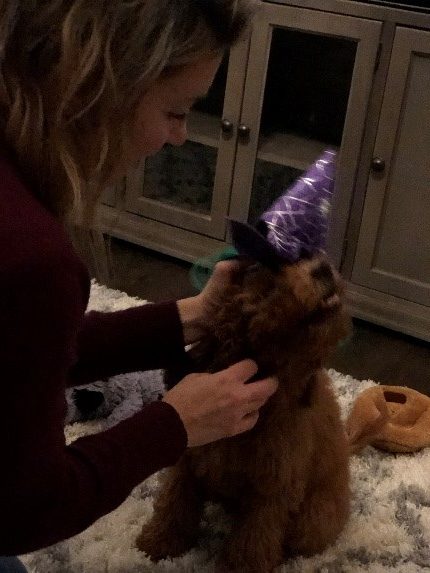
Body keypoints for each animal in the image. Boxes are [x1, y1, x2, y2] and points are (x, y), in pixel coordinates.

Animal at [138, 256, 352, 572]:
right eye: (270, 281)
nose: (323, 266)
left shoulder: (272, 488)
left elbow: (253, 539)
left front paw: (241, 568)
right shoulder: (188, 459)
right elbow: (173, 502)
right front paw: (156, 543)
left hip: (313, 522)